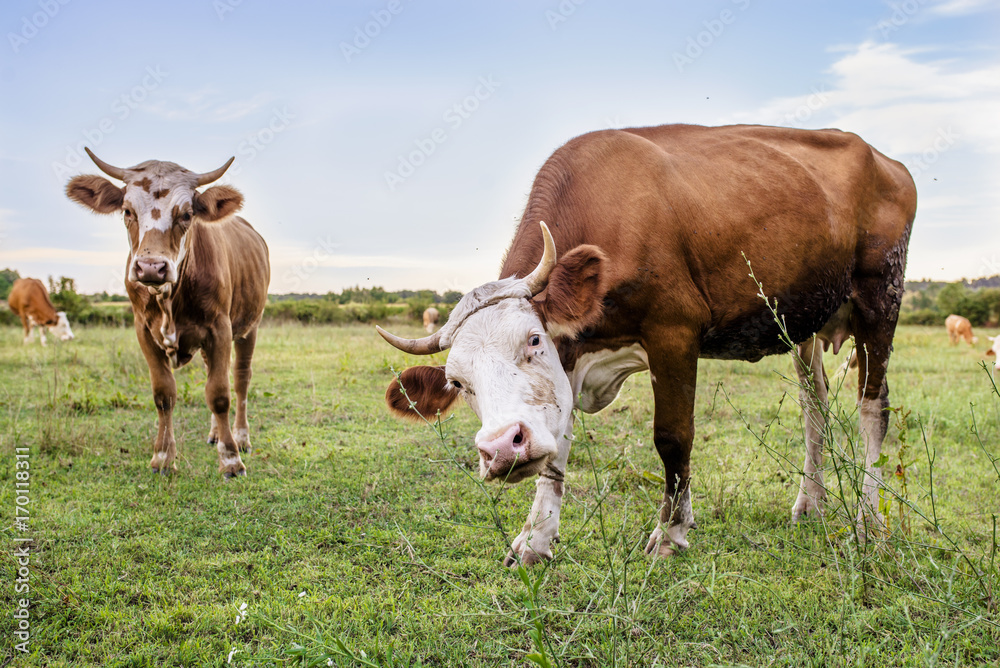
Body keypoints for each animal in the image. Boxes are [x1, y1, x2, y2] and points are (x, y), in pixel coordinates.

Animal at [66, 149, 270, 478]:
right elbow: (164, 394)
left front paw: (231, 459)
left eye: (187, 214)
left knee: (240, 380)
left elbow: (220, 394)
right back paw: (215, 434)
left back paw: (240, 437)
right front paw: (162, 456)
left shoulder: (220, 329)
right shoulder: (144, 332)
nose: (151, 267)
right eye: (127, 211)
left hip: (249, 327)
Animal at [376, 124, 916, 564]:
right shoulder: (572, 356)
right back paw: (810, 502)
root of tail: (884, 158)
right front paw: (535, 539)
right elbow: (558, 444)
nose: (501, 450)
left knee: (873, 408)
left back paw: (869, 521)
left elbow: (673, 437)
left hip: (880, 301)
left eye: (532, 340)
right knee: (814, 406)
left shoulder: (673, 331)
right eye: (457, 382)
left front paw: (671, 532)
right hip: (804, 321)